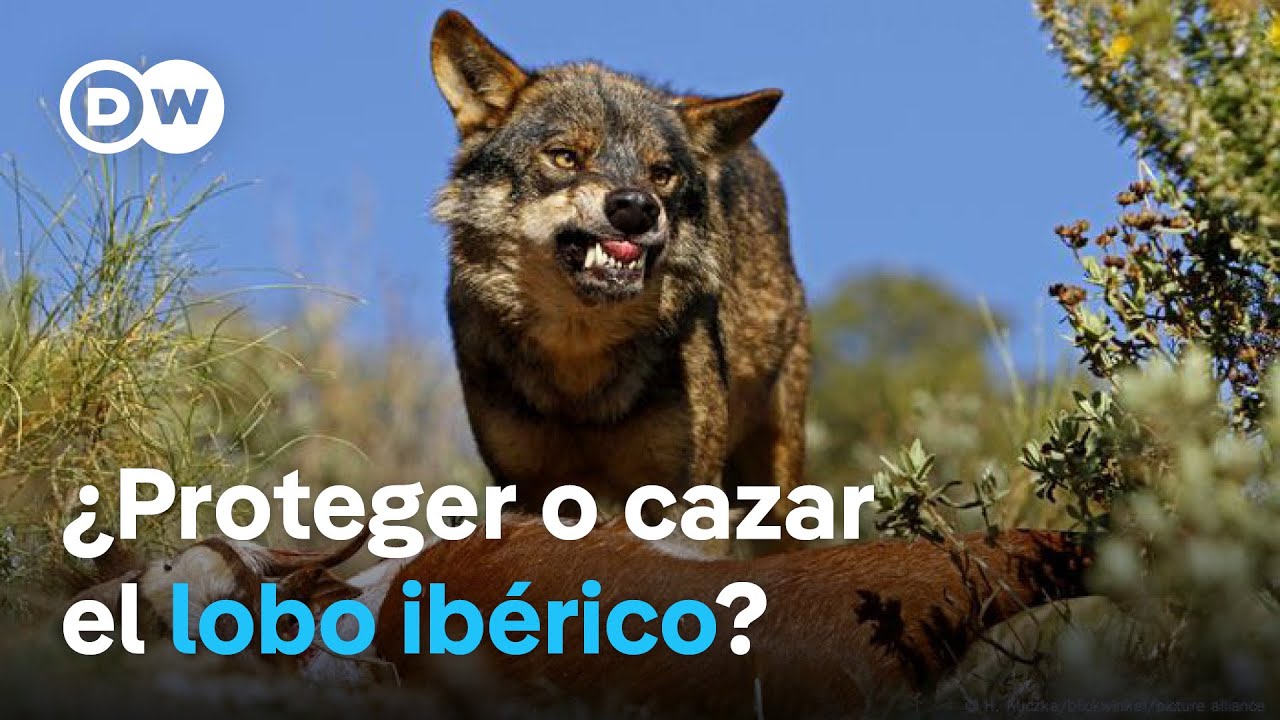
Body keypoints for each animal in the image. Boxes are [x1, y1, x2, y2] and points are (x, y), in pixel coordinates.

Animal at [429, 10, 808, 537]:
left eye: (662, 174)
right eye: (565, 157)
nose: (636, 208)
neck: (579, 372)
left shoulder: (686, 493)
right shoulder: (527, 492)